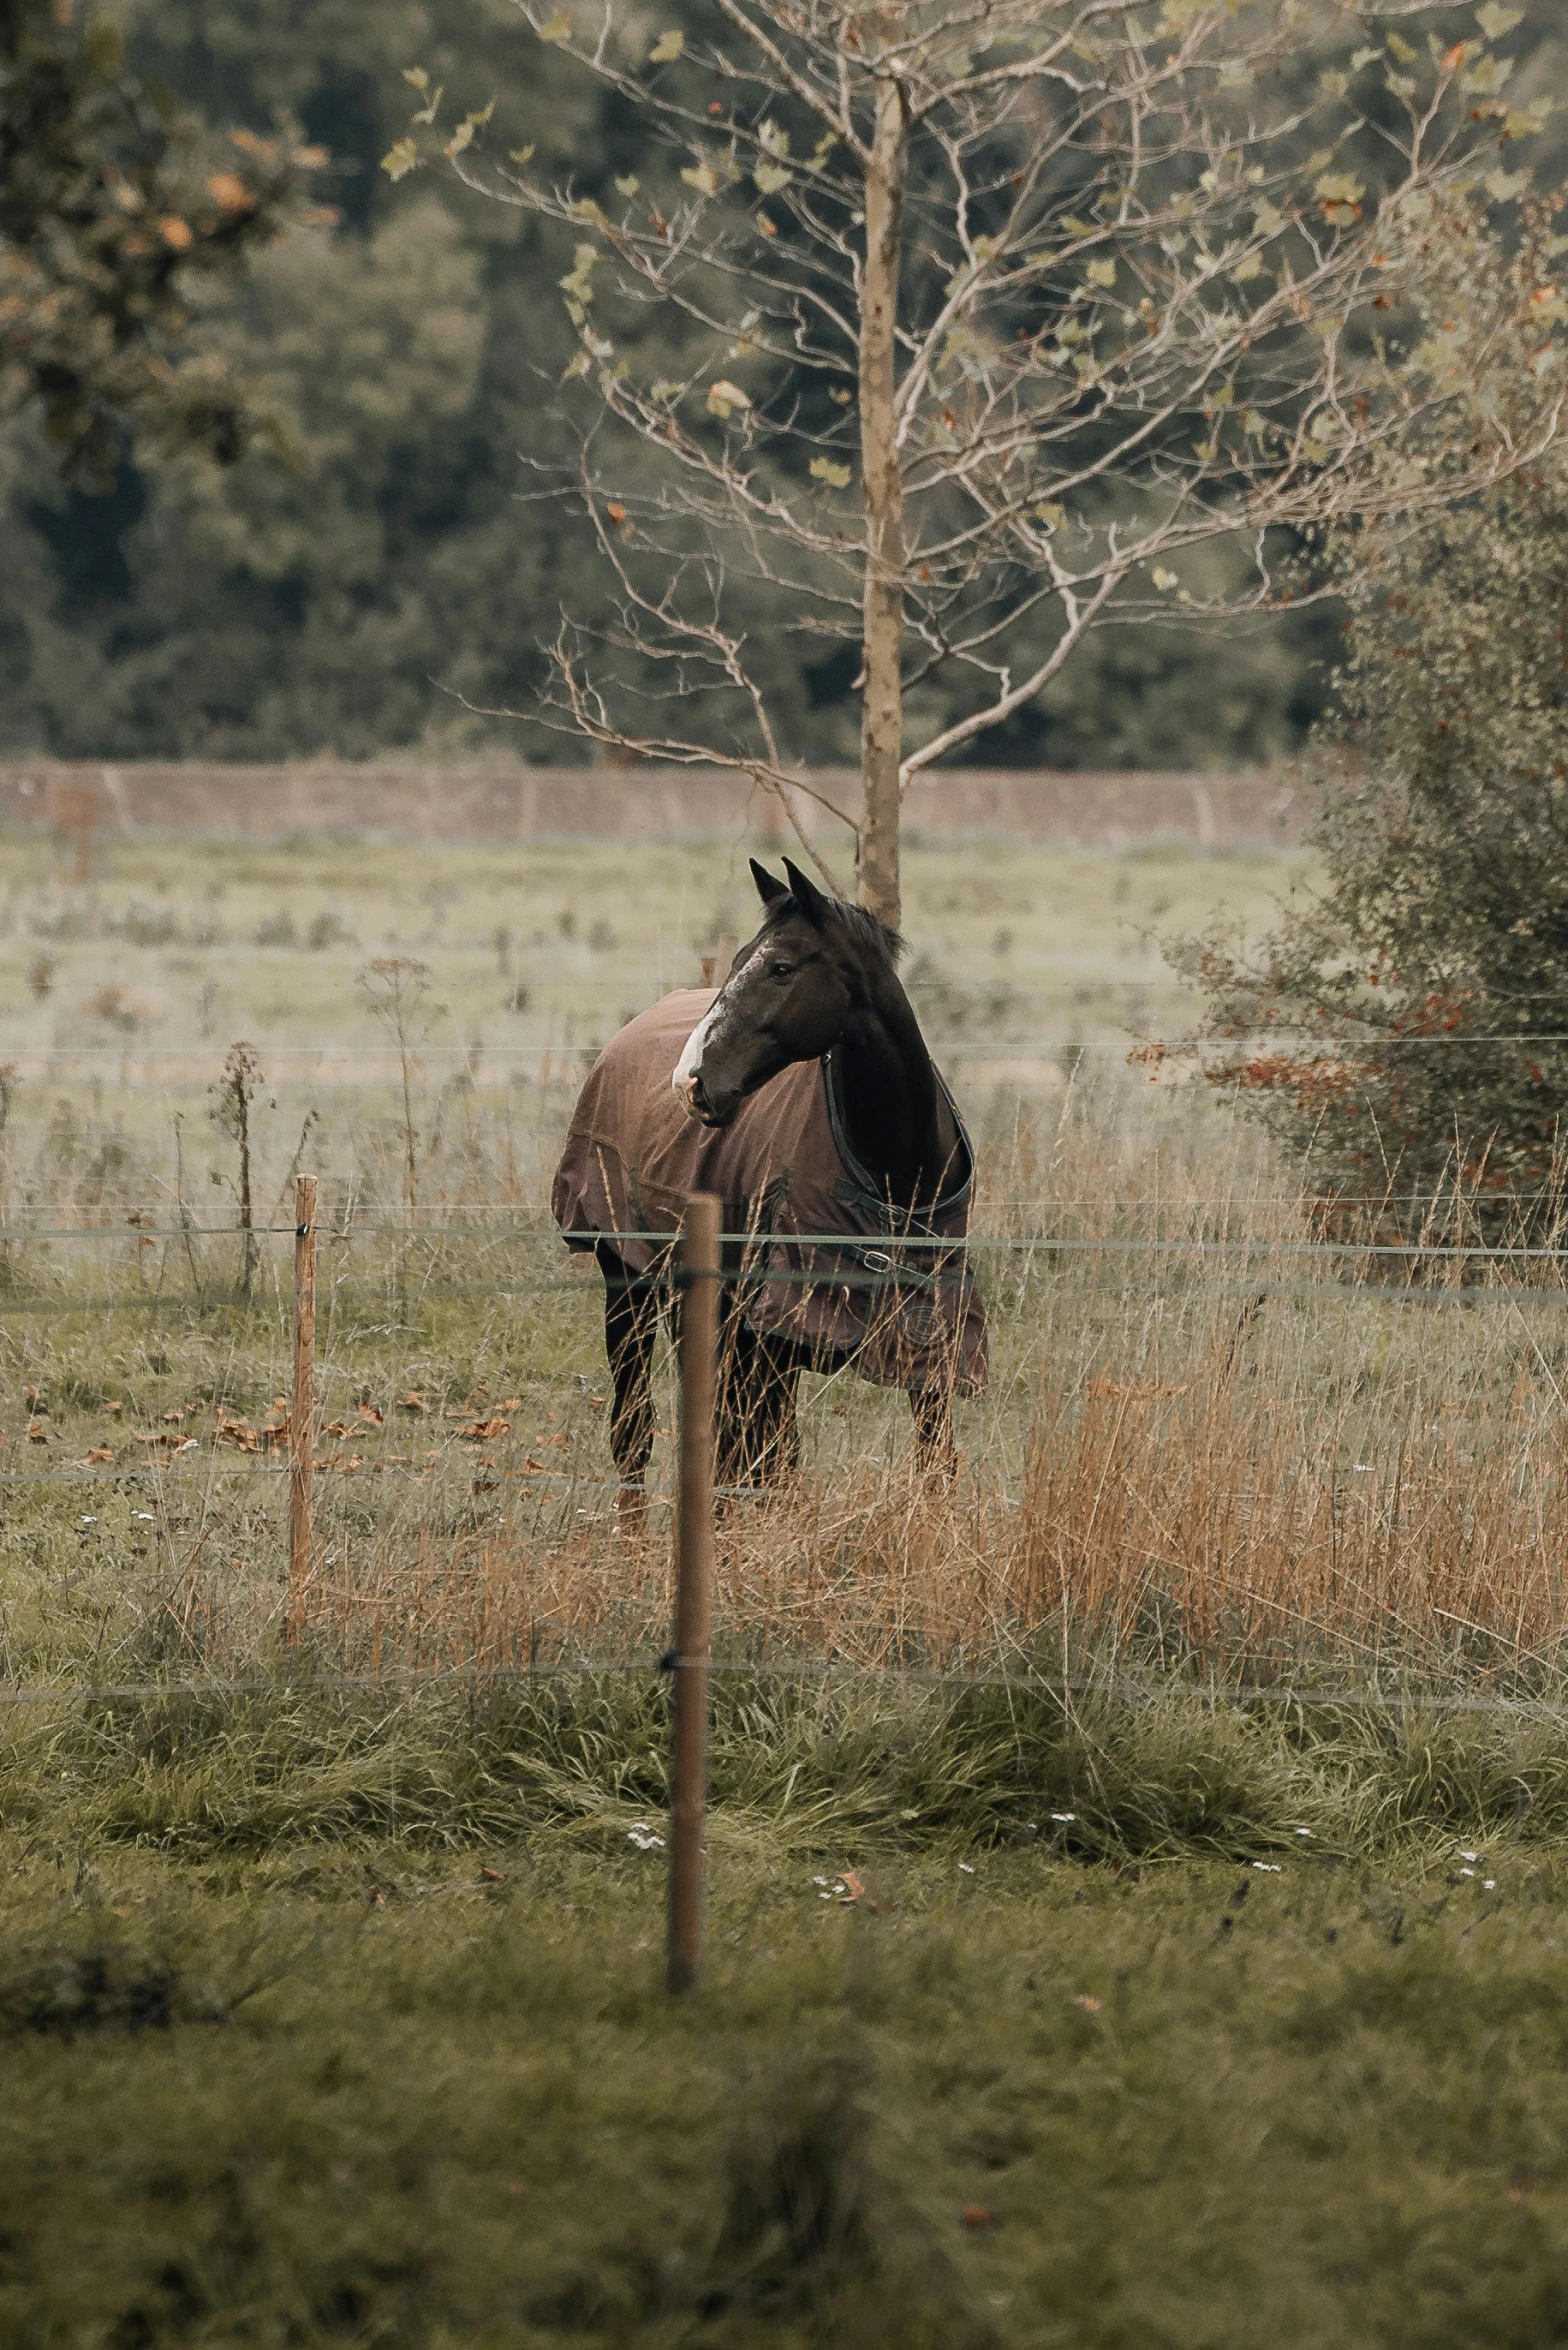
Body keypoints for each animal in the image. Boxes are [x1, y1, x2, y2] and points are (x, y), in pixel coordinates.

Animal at [557, 860, 987, 1522]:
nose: (691, 1082)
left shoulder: (930, 1342)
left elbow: (935, 1465)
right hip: (630, 1286)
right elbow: (761, 1466)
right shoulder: (771, 1340)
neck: (894, 1171)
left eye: (780, 967)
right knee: (637, 1433)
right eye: (740, 961)